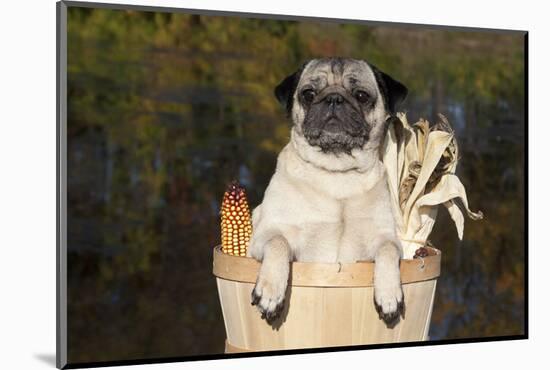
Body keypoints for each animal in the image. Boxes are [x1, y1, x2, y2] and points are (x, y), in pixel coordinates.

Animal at [250, 57, 410, 324]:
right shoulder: (264, 236)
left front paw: (388, 294)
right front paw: (271, 292)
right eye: (308, 94)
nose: (334, 98)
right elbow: (278, 242)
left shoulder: (383, 237)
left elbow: (387, 250)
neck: (337, 173)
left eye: (361, 95)